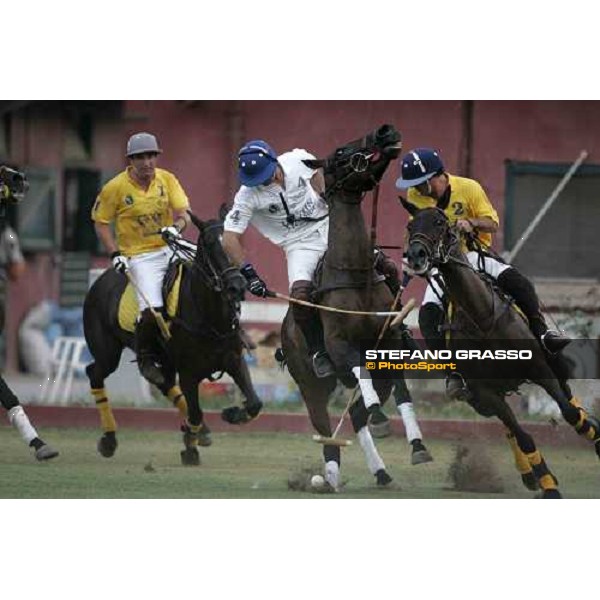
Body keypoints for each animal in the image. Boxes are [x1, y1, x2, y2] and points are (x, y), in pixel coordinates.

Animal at [83, 211, 262, 464]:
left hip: (164, 359)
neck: (210, 317)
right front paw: (190, 450)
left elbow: (255, 403)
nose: (237, 286)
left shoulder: (234, 359)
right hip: (107, 350)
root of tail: (101, 279)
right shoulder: (188, 371)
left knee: (163, 382)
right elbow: (196, 412)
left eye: (236, 240)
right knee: (95, 373)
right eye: (209, 244)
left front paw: (231, 414)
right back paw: (109, 440)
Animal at [282, 124, 432, 490]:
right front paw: (382, 418)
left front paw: (418, 446)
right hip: (310, 383)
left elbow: (403, 394)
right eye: (339, 152)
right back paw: (329, 477)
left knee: (357, 414)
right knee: (325, 428)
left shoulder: (390, 345)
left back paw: (380, 470)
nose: (385, 131)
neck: (356, 274)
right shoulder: (339, 346)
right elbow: (357, 367)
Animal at [404, 209, 600, 500]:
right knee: (510, 428)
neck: (482, 317)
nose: (415, 255)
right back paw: (530, 475)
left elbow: (570, 413)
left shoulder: (539, 368)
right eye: (410, 226)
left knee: (569, 398)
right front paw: (548, 484)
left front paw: (594, 434)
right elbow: (523, 436)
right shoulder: (483, 391)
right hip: (482, 399)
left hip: (554, 364)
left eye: (440, 222)